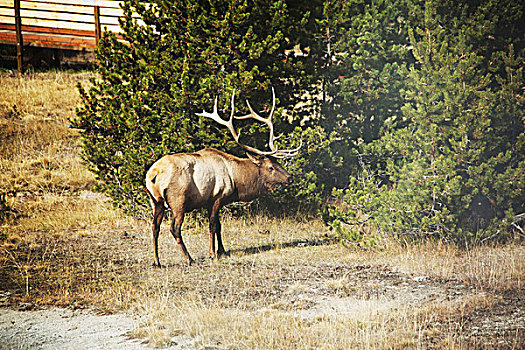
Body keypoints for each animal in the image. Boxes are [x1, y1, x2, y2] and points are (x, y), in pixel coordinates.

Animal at [144, 88, 298, 266]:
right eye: (270, 167)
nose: (290, 178)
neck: (237, 181)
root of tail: (154, 173)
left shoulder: (211, 201)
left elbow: (219, 225)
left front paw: (222, 251)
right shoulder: (217, 196)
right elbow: (213, 225)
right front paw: (212, 253)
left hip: (156, 200)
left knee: (154, 226)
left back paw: (156, 261)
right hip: (177, 200)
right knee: (174, 228)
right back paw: (189, 259)